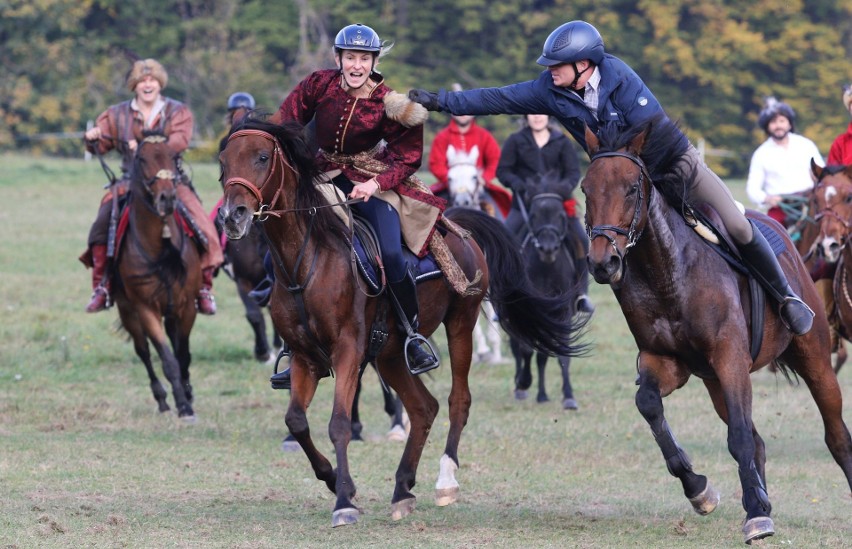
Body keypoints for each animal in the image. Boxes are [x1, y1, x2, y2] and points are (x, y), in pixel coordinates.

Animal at [112, 133, 202, 420]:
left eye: (173, 157)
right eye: (142, 158)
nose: (167, 198)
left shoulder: (186, 307)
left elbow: (182, 355)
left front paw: (188, 396)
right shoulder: (145, 309)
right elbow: (167, 359)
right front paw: (182, 405)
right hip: (127, 311)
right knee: (143, 352)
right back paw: (162, 399)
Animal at [580, 117, 852, 540]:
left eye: (631, 189)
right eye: (585, 190)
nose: (603, 263)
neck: (669, 273)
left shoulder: (730, 359)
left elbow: (738, 436)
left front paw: (754, 516)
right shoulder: (665, 361)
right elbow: (649, 404)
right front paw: (700, 490)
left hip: (815, 359)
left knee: (836, 436)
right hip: (714, 382)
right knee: (758, 441)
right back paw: (759, 498)